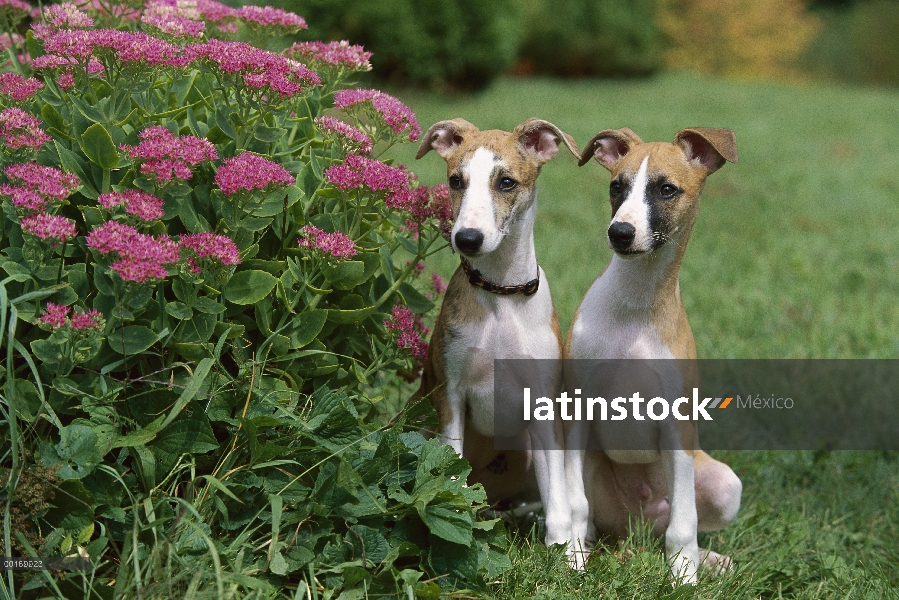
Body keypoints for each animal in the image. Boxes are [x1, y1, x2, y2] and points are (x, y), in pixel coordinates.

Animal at [416, 118, 584, 552]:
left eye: (506, 182)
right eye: (456, 181)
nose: (467, 239)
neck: (501, 294)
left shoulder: (543, 406)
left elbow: (559, 501)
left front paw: (568, 557)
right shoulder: (450, 395)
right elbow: (451, 478)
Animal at [564, 126, 744, 580]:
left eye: (666, 189)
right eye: (616, 186)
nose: (620, 233)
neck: (636, 305)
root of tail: (635, 528)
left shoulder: (676, 427)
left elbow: (684, 523)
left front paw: (684, 578)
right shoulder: (575, 412)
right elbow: (574, 504)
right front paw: (570, 560)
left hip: (722, 484)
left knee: (681, 523)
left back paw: (708, 561)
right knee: (592, 518)